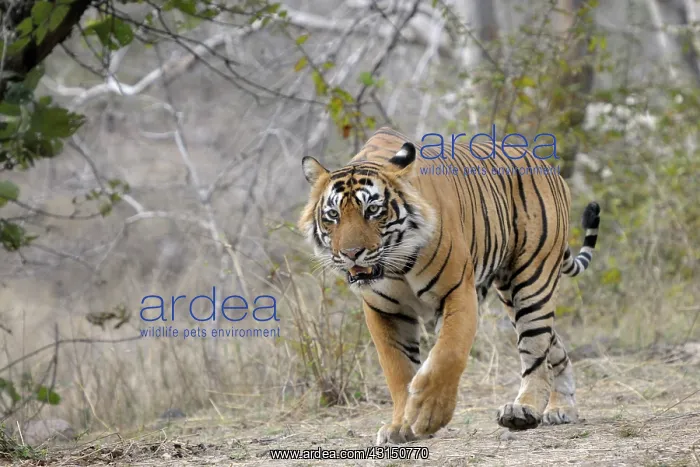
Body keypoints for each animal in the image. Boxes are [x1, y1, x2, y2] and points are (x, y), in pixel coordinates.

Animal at [298, 127, 601, 445]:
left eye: (373, 210)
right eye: (333, 215)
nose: (351, 253)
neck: (395, 265)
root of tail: (547, 166)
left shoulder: (457, 291)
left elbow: (448, 353)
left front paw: (428, 414)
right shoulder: (383, 310)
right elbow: (398, 369)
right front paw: (400, 426)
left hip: (532, 281)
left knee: (535, 349)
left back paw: (524, 410)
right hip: (510, 295)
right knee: (554, 347)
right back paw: (562, 407)